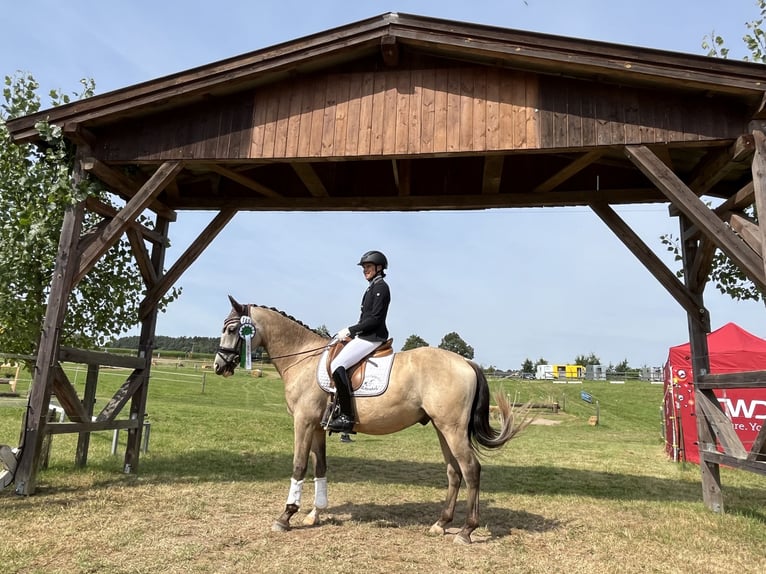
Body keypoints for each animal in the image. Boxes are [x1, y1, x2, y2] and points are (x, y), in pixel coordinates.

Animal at [213, 300, 532, 548]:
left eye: (232, 329)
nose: (219, 366)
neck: (304, 360)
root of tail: (466, 362)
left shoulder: (303, 423)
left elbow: (299, 466)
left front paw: (285, 517)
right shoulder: (317, 427)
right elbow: (320, 467)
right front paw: (315, 514)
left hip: (452, 429)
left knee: (471, 470)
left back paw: (466, 531)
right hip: (442, 429)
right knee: (454, 472)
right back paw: (441, 523)